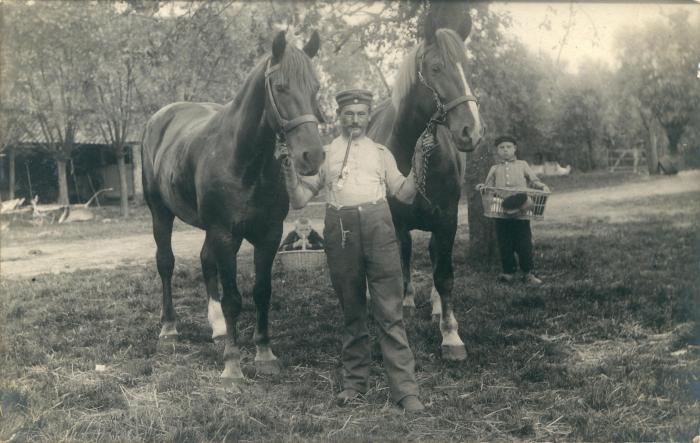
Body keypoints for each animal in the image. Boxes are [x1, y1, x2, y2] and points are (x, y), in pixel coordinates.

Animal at [143, 30, 328, 386]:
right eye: (280, 87)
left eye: (315, 88)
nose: (312, 156)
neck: (244, 160)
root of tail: (160, 118)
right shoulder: (224, 234)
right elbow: (233, 299)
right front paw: (232, 365)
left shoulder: (268, 235)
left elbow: (261, 291)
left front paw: (264, 354)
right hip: (161, 213)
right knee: (166, 263)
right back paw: (169, 329)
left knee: (205, 261)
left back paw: (217, 328)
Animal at [366, 14, 482, 360]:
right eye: (436, 68)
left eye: (467, 67)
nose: (471, 131)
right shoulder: (393, 220)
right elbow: (397, 263)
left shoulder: (447, 218)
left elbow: (444, 275)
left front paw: (451, 335)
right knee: (406, 252)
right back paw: (407, 300)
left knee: (434, 256)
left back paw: (436, 307)